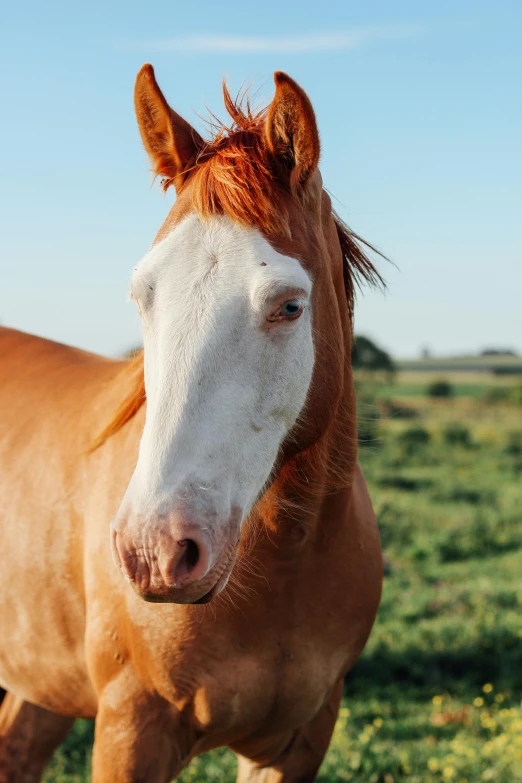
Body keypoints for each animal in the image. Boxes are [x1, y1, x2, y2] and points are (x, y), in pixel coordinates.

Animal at [0, 64, 382, 780]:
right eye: (141, 295)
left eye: (289, 306)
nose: (154, 552)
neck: (283, 572)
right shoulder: (131, 731)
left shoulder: (301, 740)